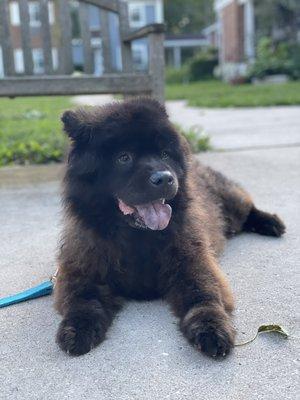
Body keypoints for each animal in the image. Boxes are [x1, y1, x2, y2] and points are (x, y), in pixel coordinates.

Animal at [54, 98, 286, 358]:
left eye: (164, 154)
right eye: (124, 157)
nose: (164, 178)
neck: (137, 240)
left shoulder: (193, 261)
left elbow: (204, 295)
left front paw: (212, 329)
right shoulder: (81, 269)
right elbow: (82, 300)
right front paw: (78, 329)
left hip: (230, 202)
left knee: (247, 209)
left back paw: (271, 223)